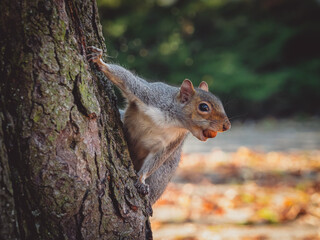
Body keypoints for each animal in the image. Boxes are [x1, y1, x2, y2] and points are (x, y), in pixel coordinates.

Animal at [86, 46, 230, 206]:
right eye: (204, 107)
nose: (227, 125)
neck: (171, 120)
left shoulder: (173, 141)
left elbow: (157, 159)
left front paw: (141, 179)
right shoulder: (149, 95)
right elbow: (127, 79)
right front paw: (100, 61)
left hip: (162, 175)